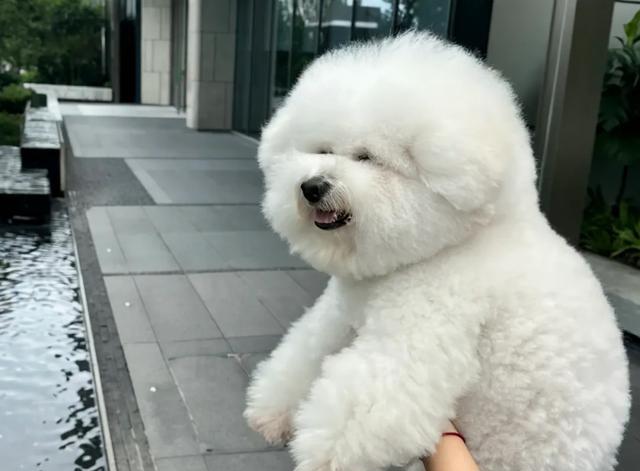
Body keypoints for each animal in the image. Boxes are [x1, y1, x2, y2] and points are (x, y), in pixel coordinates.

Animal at [245, 32, 630, 471]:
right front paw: (273, 410)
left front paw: (324, 453)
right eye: (322, 150)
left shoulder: (427, 326)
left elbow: (373, 397)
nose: (311, 186)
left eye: (366, 157)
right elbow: (307, 348)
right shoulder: (342, 313)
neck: (445, 246)